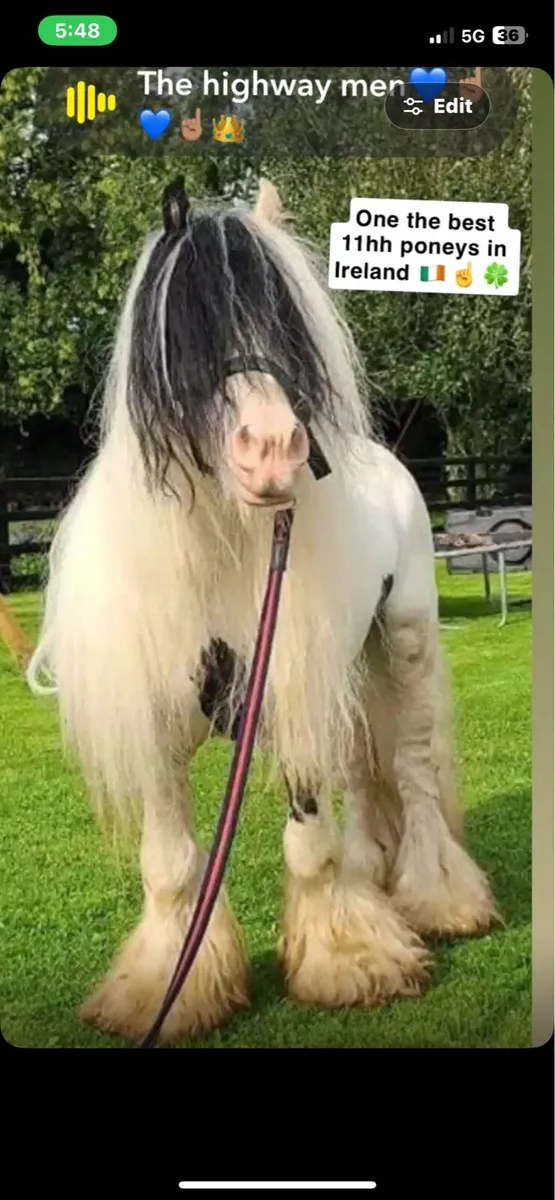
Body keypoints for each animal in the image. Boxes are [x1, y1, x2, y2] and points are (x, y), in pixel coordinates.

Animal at [27, 177, 498, 1044]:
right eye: (187, 327)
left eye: (288, 325)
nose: (273, 450)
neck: (219, 558)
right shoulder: (158, 732)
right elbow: (170, 865)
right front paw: (165, 989)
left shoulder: (288, 693)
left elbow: (307, 842)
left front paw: (347, 962)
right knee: (364, 773)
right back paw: (376, 879)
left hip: (402, 645)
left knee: (411, 772)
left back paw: (436, 901)